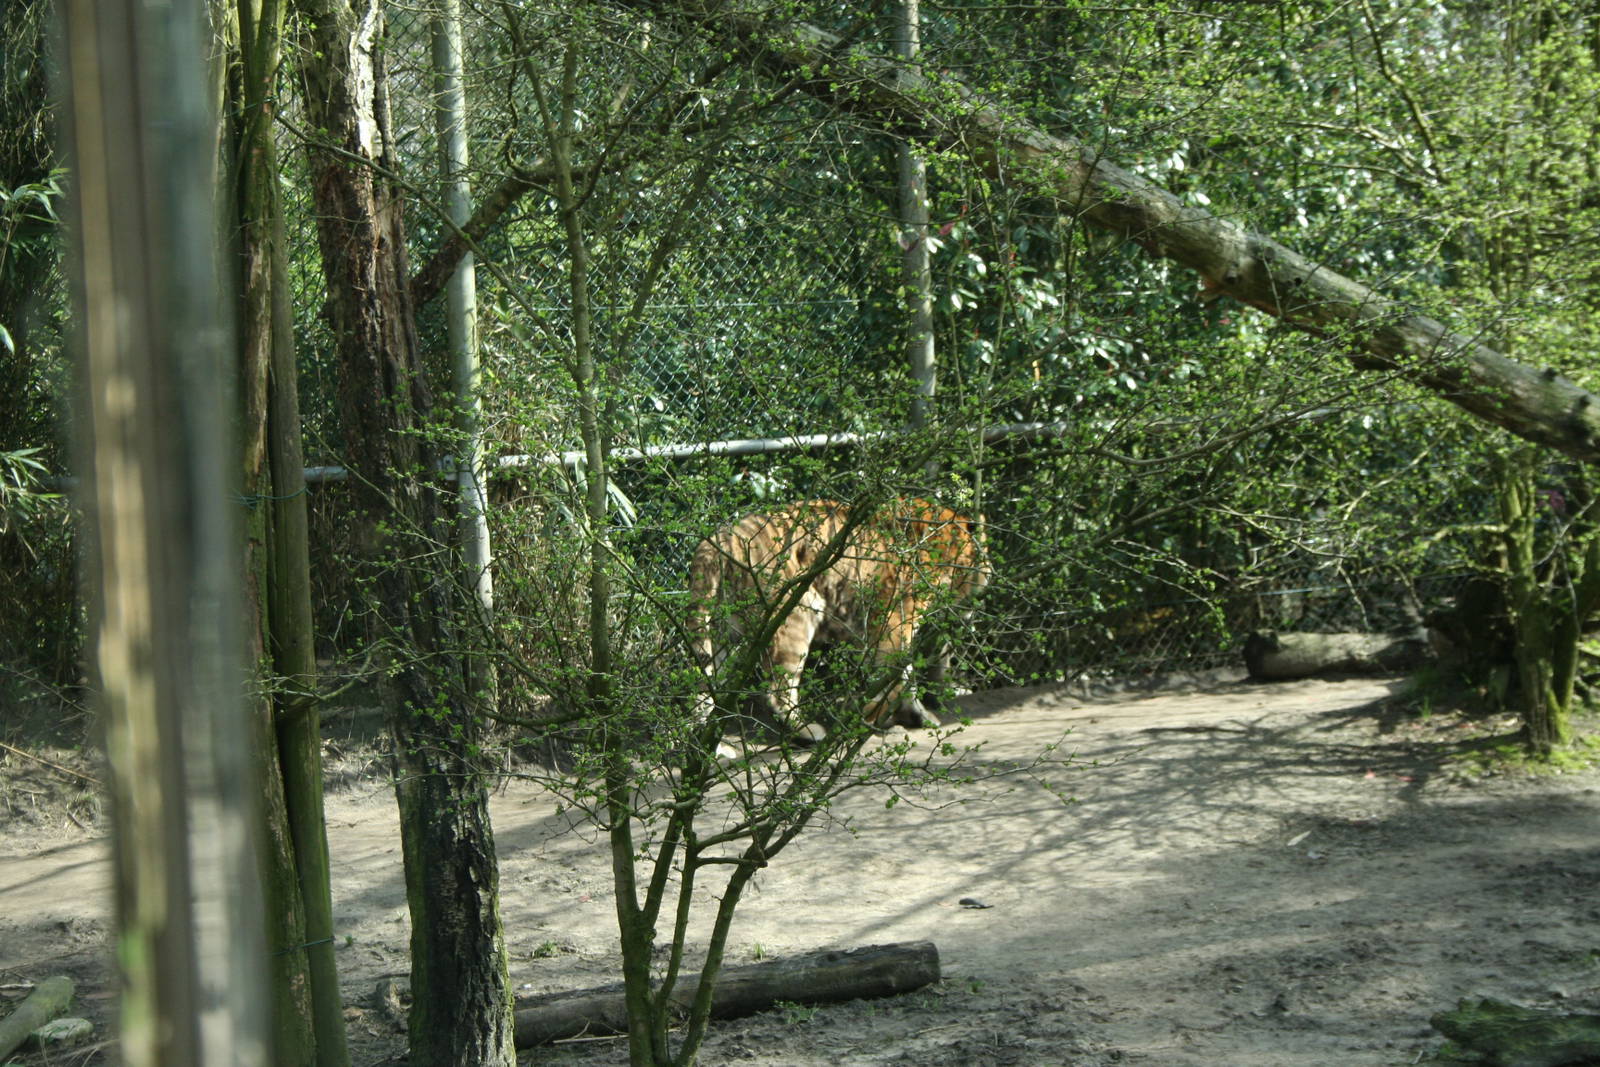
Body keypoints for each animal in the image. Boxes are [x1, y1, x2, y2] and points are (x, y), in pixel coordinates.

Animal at [688, 498, 988, 742]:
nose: (976, 604)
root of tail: (718, 540)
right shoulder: (895, 619)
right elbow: (895, 674)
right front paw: (879, 717)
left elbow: (902, 674)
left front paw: (914, 715)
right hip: (796, 615)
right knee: (778, 690)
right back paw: (809, 732)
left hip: (721, 633)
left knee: (703, 689)